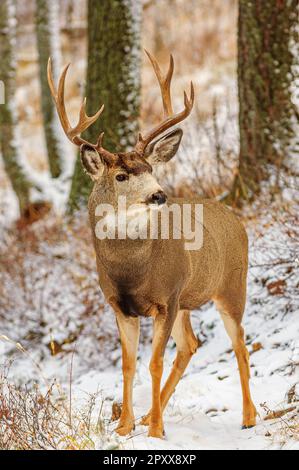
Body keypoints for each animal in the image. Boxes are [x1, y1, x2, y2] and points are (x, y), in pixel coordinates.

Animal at [47, 50, 258, 436]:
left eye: (150, 169)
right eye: (121, 175)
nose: (159, 194)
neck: (131, 272)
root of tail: (236, 217)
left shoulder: (166, 298)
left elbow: (154, 363)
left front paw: (157, 431)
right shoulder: (119, 305)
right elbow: (129, 365)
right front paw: (125, 426)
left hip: (231, 286)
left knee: (239, 344)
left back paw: (248, 417)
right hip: (187, 301)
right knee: (191, 345)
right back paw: (148, 413)